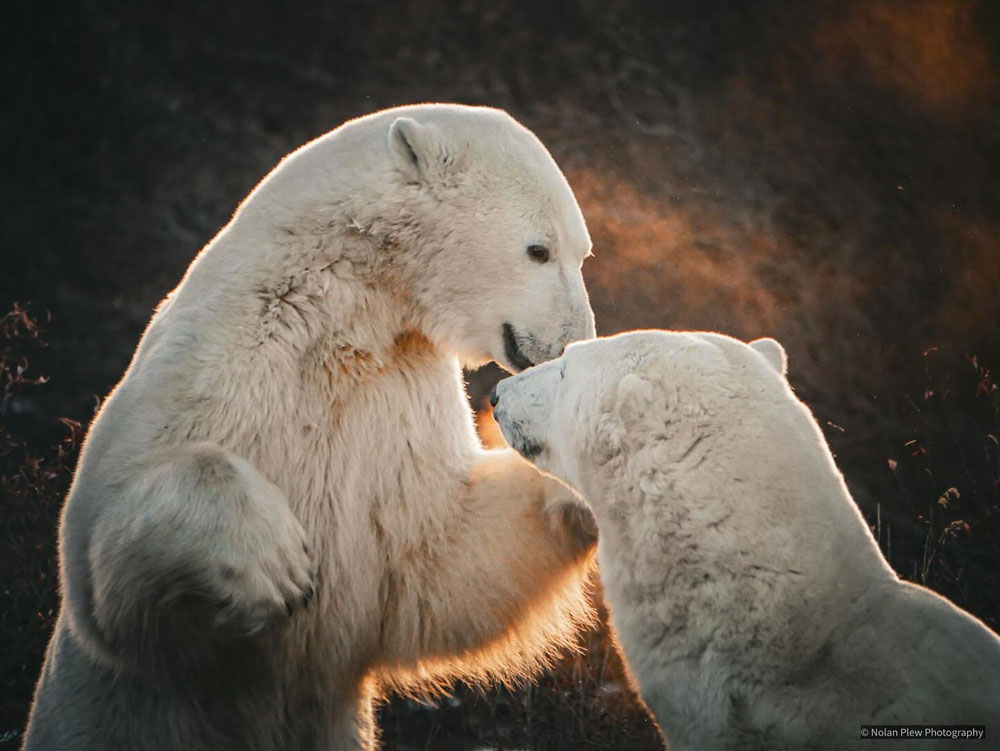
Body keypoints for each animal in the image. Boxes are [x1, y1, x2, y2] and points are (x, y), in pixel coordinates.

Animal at [23, 104, 599, 751]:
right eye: (538, 249)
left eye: (582, 253)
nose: (573, 340)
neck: (342, 308)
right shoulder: (209, 368)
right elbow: (107, 589)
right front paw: (275, 562)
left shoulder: (397, 390)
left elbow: (435, 553)